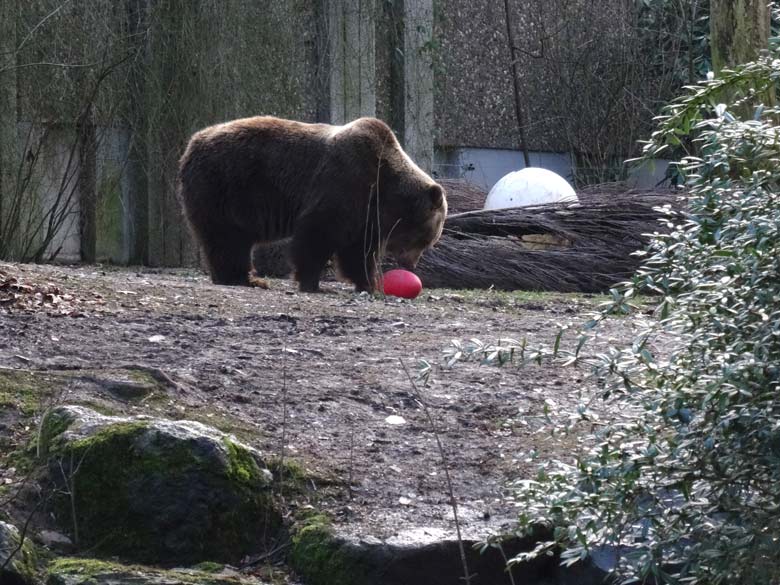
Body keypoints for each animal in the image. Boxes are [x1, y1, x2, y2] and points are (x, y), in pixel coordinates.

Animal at [177, 115, 444, 290]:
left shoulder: (365, 215)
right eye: (427, 238)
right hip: (224, 185)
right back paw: (245, 278)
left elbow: (357, 251)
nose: (411, 264)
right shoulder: (344, 182)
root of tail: (192, 142)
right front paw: (310, 281)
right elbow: (318, 233)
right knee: (227, 237)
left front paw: (368, 283)